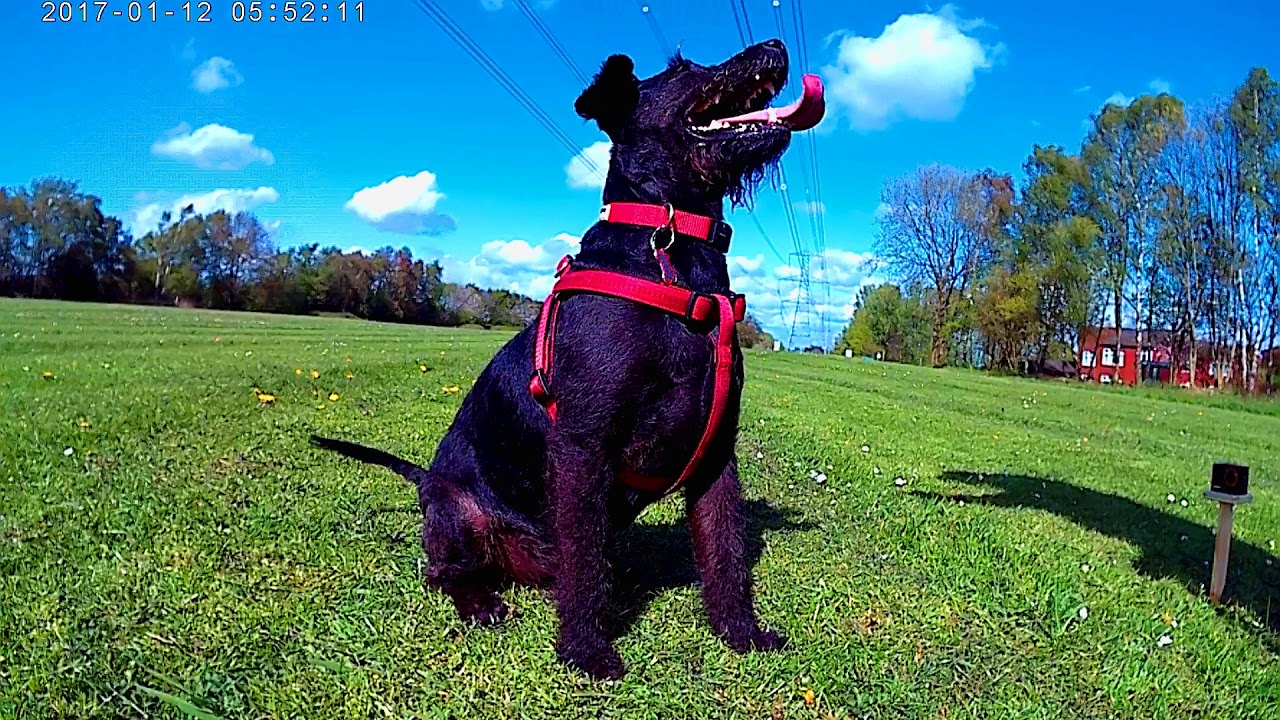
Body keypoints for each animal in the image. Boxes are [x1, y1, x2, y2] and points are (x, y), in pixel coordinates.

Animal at [314, 39, 824, 676]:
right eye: (682, 68)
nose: (775, 45)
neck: (672, 252)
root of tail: (427, 479)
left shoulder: (715, 454)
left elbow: (724, 550)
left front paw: (740, 633)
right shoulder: (584, 443)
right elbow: (584, 561)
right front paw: (585, 650)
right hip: (459, 515)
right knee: (444, 570)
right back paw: (481, 601)